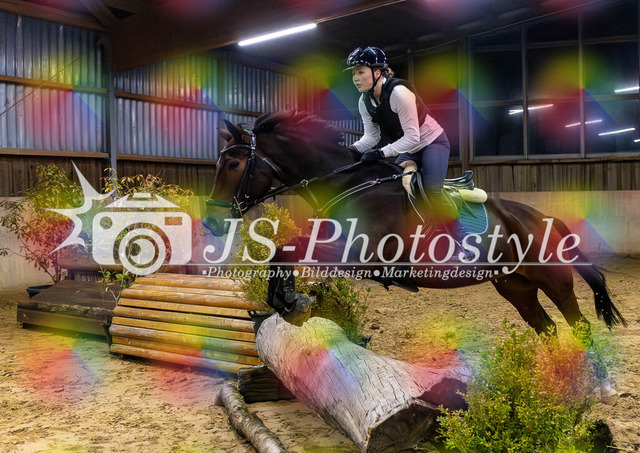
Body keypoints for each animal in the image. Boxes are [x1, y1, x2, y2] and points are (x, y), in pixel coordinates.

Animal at [205, 111, 626, 335]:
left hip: (554, 281)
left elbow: (287, 248)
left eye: (234, 164)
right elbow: (281, 251)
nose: (211, 219)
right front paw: (286, 302)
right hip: (516, 286)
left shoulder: (361, 255)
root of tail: (542, 218)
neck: (347, 182)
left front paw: (294, 302)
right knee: (548, 327)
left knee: (578, 325)